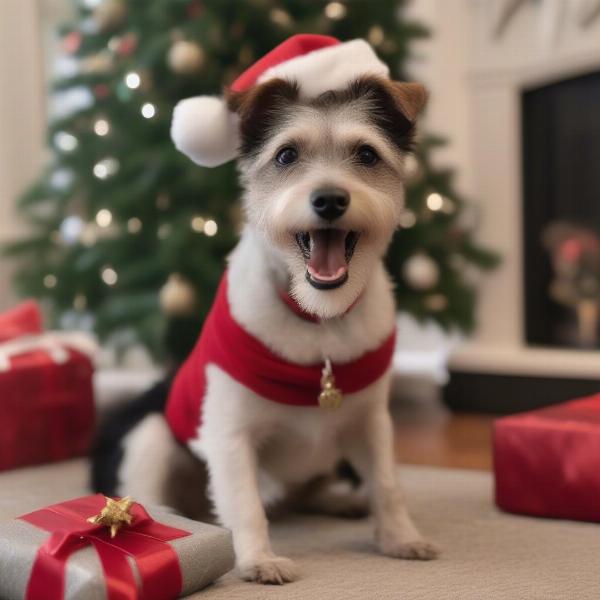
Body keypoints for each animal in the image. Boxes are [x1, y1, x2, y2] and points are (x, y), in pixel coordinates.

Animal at [95, 34, 440, 584]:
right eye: (286, 155)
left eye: (366, 153)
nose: (329, 199)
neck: (318, 319)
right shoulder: (230, 433)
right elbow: (245, 503)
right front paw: (258, 559)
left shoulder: (371, 423)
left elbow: (388, 484)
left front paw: (399, 537)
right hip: (151, 435)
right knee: (164, 500)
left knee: (307, 493)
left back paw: (342, 500)